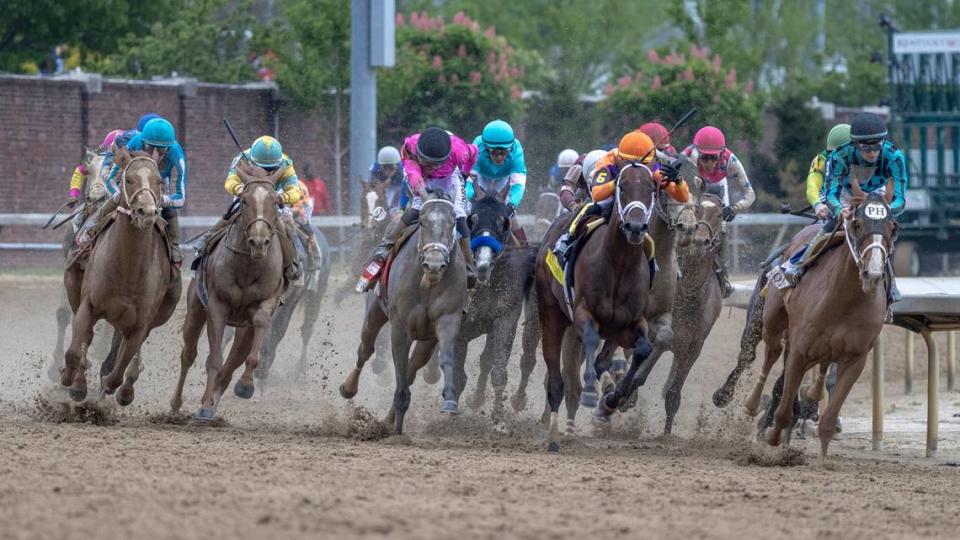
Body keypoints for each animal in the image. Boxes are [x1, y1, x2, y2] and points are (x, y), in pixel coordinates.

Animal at [60, 148, 180, 404]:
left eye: (159, 182)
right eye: (129, 179)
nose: (146, 212)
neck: (127, 268)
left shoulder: (139, 324)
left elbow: (116, 373)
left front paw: (108, 395)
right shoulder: (88, 305)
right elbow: (75, 351)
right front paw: (72, 381)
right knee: (87, 339)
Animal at [172, 165, 284, 418]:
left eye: (275, 201)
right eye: (243, 200)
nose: (259, 242)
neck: (249, 265)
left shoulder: (266, 302)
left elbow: (258, 327)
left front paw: (245, 385)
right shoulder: (217, 307)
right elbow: (214, 359)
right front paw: (204, 406)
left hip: (244, 329)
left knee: (232, 363)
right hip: (196, 309)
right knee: (188, 354)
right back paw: (177, 403)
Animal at [342, 195, 468, 434]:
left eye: (452, 224)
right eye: (423, 223)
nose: (435, 264)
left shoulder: (447, 320)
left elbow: (446, 357)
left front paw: (449, 400)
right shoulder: (400, 329)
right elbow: (399, 369)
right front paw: (397, 431)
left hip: (427, 341)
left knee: (413, 368)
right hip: (374, 312)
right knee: (366, 349)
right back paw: (349, 387)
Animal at [532, 163, 660, 452]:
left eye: (652, 189)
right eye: (622, 186)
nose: (636, 227)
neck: (619, 263)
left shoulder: (631, 323)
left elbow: (643, 349)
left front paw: (612, 401)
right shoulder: (582, 313)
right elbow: (589, 339)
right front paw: (591, 392)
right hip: (551, 312)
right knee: (556, 380)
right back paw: (553, 436)